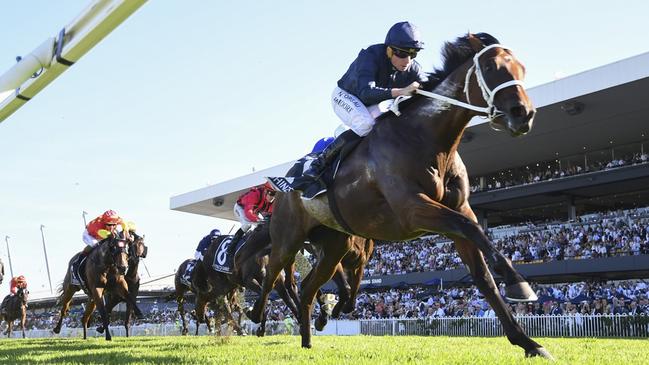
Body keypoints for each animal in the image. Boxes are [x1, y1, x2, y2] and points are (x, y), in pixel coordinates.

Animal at [248, 32, 552, 356]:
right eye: (492, 67)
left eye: (522, 68)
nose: (523, 114)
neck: (427, 139)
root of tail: (284, 187)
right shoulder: (414, 210)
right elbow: (473, 229)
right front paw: (518, 283)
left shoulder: (458, 210)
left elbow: (483, 275)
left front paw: (528, 342)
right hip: (288, 238)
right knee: (273, 275)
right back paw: (256, 314)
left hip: (333, 246)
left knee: (307, 288)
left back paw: (308, 338)